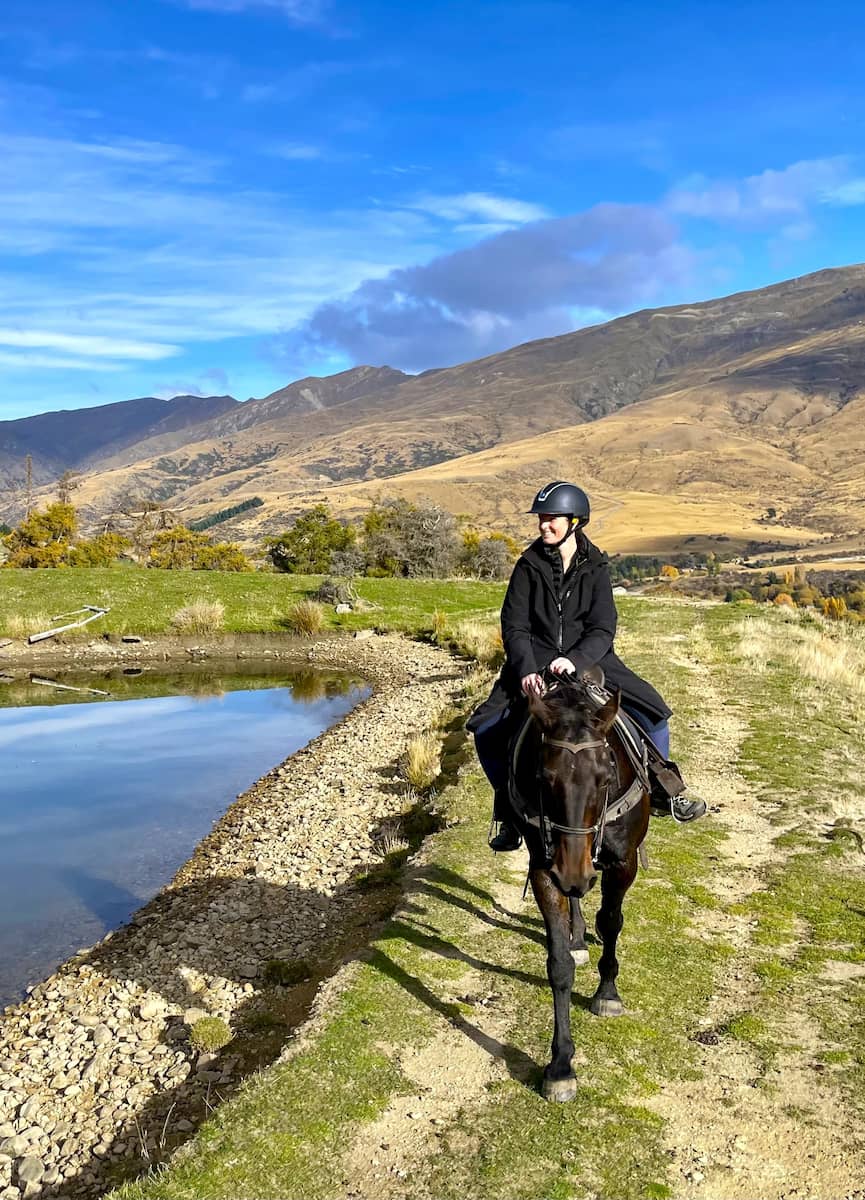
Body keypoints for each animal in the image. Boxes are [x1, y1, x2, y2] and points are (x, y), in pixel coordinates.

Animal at [513, 676, 647, 1099]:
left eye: (604, 777)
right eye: (543, 779)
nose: (574, 872)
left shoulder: (624, 863)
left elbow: (611, 921)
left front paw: (607, 993)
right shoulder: (545, 870)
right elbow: (558, 964)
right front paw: (560, 1066)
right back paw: (576, 934)